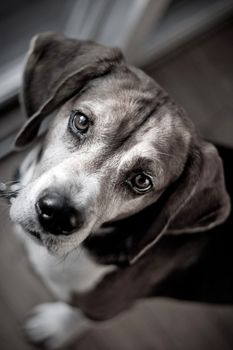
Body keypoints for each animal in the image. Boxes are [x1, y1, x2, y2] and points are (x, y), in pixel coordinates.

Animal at [4, 32, 233, 348]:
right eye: (81, 121)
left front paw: (54, 326)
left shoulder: (103, 306)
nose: (57, 214)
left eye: (142, 181)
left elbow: (79, 314)